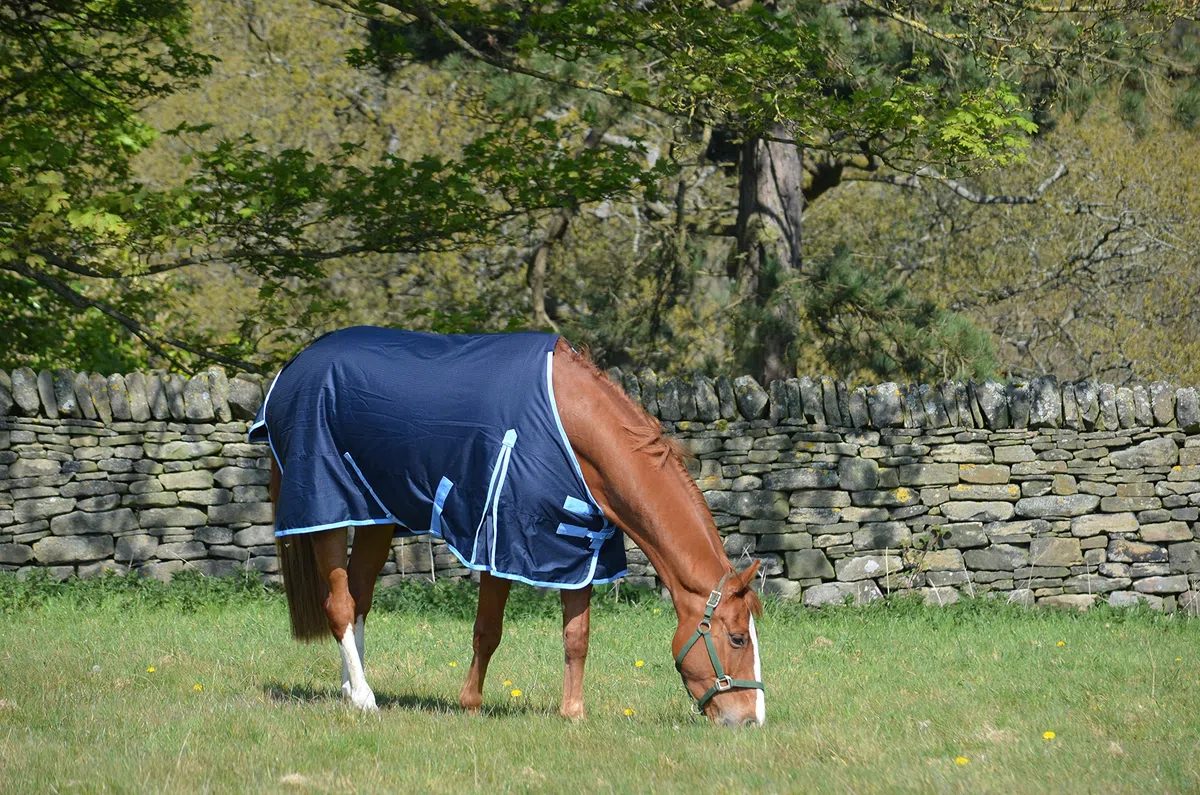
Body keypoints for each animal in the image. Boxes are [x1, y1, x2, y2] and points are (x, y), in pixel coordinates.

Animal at [258, 327, 764, 727]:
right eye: (737, 637)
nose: (752, 719)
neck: (567, 424)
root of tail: (294, 368)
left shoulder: (578, 548)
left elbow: (577, 637)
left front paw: (572, 714)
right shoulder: (501, 541)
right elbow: (488, 629)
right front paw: (471, 704)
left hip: (372, 515)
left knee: (359, 599)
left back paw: (350, 690)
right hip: (326, 506)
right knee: (340, 604)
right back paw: (364, 699)